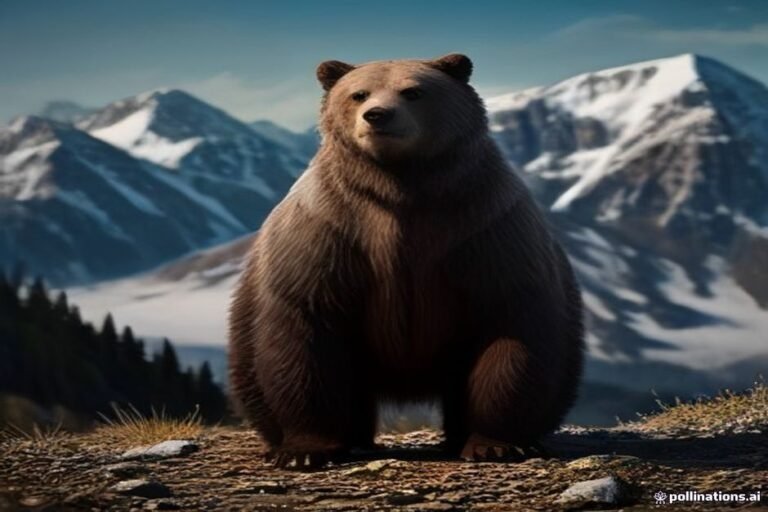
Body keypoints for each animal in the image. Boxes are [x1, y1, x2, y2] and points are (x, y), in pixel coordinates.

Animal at [228, 53, 584, 469]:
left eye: (413, 91)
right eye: (358, 93)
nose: (377, 115)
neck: (401, 185)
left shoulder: (486, 231)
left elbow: (510, 331)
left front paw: (496, 444)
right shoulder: (330, 235)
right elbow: (304, 336)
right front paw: (305, 450)